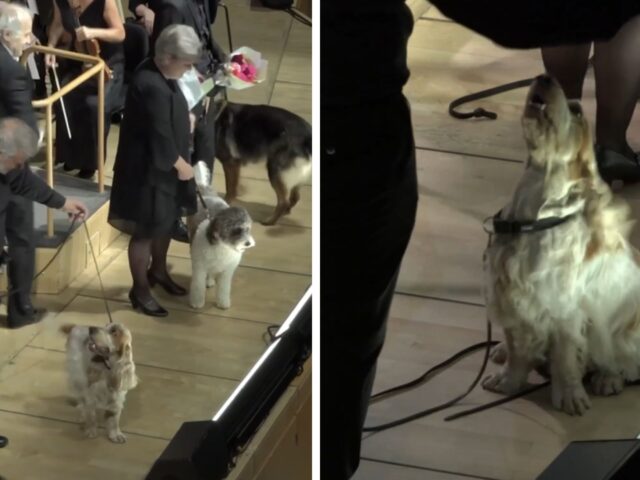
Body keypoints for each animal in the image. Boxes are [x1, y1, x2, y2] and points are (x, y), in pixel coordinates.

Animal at [188, 161, 255, 310]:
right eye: (236, 231)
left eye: (247, 229)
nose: (248, 243)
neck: (222, 247)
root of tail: (206, 194)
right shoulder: (200, 267)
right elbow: (197, 286)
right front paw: (197, 302)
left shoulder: (227, 272)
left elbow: (224, 288)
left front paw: (223, 303)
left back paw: (210, 280)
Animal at [482, 74, 640, 416]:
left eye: (577, 110)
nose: (543, 77)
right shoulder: (512, 295)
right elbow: (517, 349)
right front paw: (508, 381)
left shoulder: (562, 307)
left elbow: (566, 358)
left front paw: (569, 396)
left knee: (623, 362)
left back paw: (608, 379)